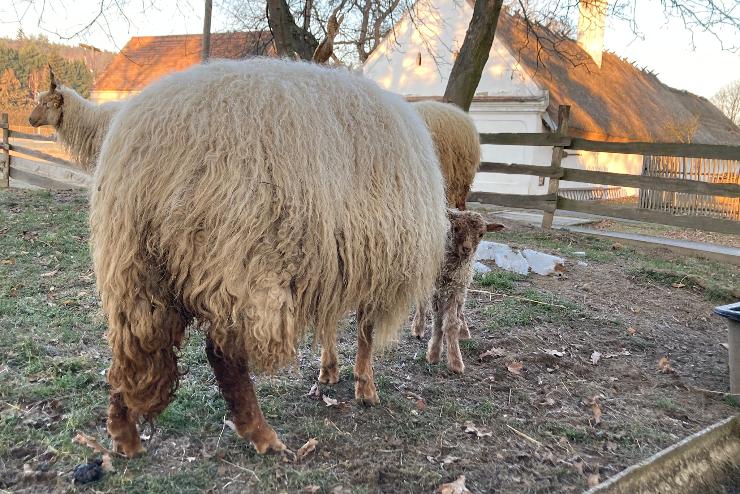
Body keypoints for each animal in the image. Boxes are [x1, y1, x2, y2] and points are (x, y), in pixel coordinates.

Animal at [86, 58, 446, 460]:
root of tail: (149, 155)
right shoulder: (376, 260)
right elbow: (365, 334)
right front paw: (365, 388)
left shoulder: (342, 259)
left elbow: (332, 324)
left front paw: (330, 371)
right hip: (238, 261)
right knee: (224, 357)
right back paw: (261, 435)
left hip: (135, 269)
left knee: (130, 355)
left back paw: (124, 435)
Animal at [414, 208, 488, 374]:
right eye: (456, 228)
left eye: (481, 234)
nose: (467, 250)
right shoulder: (439, 289)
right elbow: (439, 320)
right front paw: (434, 354)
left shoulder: (458, 288)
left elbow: (453, 322)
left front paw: (455, 361)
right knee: (421, 301)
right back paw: (418, 328)